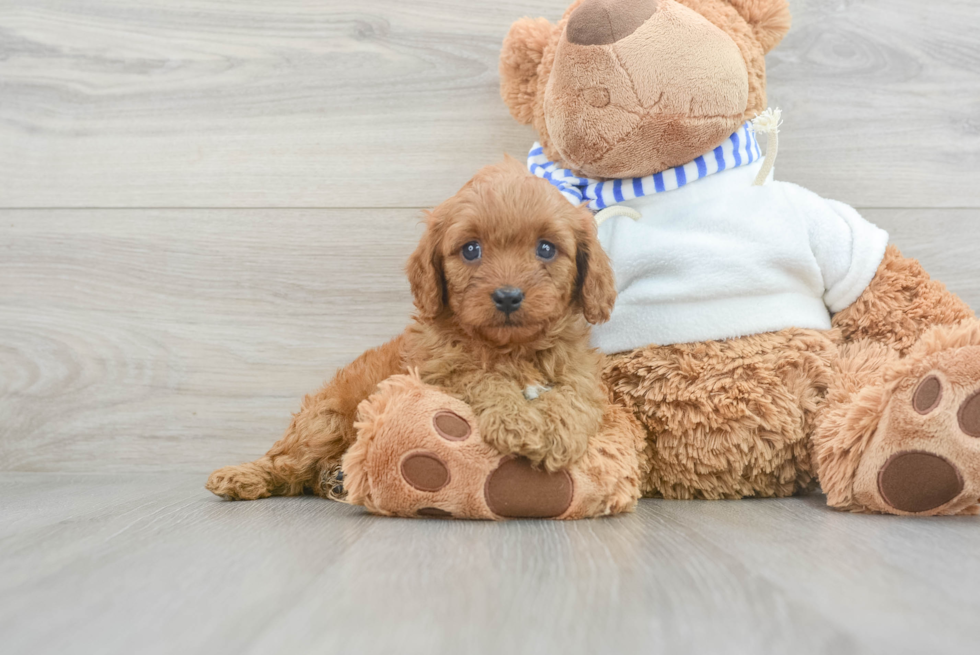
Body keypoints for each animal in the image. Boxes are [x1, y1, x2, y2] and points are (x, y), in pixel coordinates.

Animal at [209, 158, 644, 516]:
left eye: (546, 249)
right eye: (471, 249)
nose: (507, 296)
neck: (511, 349)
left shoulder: (581, 373)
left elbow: (573, 397)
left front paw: (557, 432)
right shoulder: (440, 369)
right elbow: (482, 378)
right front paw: (518, 423)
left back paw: (335, 478)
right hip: (324, 421)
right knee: (285, 463)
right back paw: (241, 477)